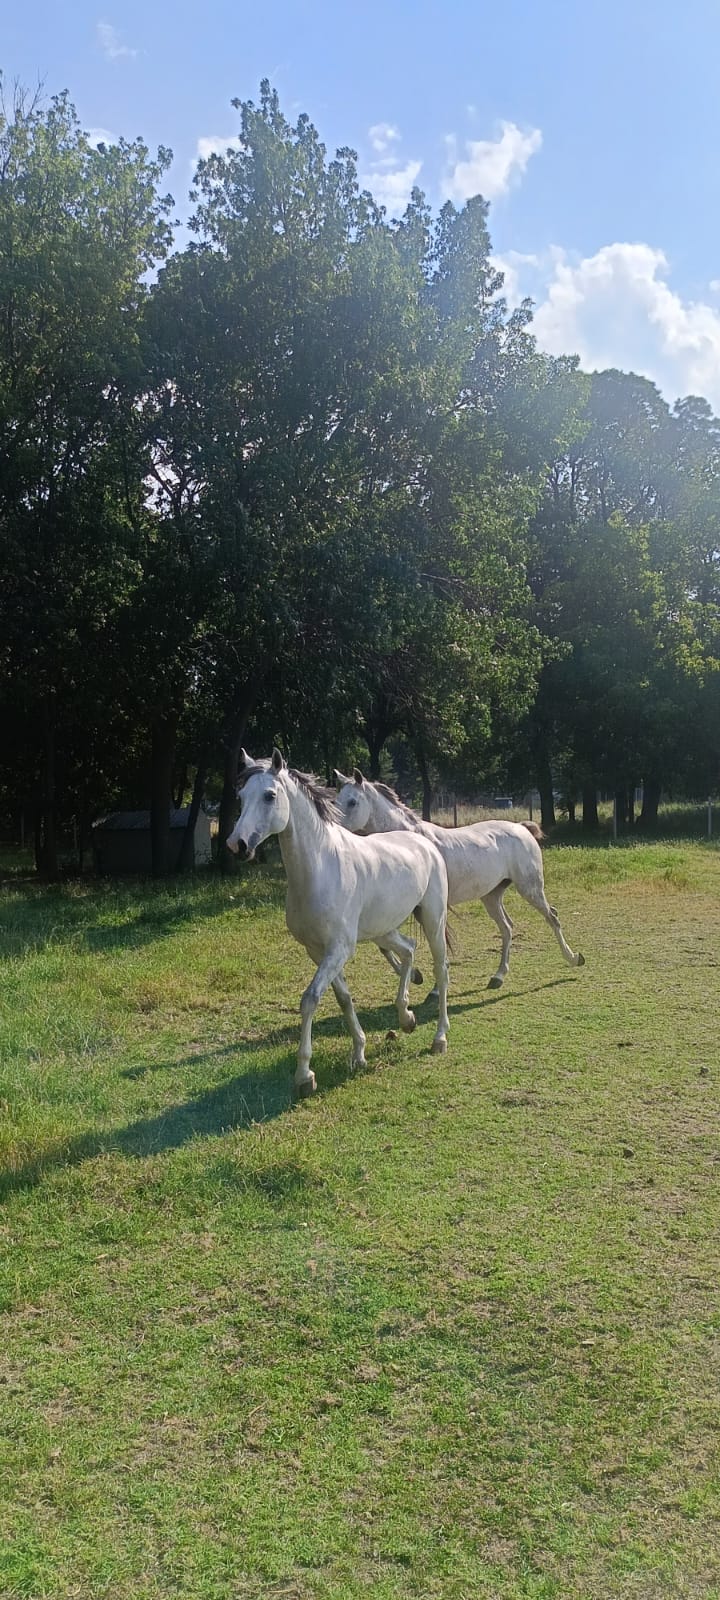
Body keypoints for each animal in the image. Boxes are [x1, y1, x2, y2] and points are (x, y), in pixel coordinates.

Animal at [226, 749, 450, 1096]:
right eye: (240, 796)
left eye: (269, 795)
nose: (237, 845)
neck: (321, 868)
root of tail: (423, 842)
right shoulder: (318, 951)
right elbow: (343, 999)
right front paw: (358, 1053)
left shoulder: (339, 949)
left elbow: (310, 999)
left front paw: (304, 1075)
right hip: (383, 931)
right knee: (409, 950)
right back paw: (405, 1017)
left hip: (433, 919)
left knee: (440, 968)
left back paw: (439, 1038)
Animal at [333, 768, 585, 992]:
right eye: (336, 800)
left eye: (352, 802)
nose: (335, 831)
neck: (409, 844)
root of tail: (521, 828)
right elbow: (384, 946)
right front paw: (416, 976)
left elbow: (438, 944)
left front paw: (433, 987)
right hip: (491, 896)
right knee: (507, 927)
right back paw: (498, 977)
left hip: (530, 888)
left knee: (552, 917)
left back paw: (573, 958)